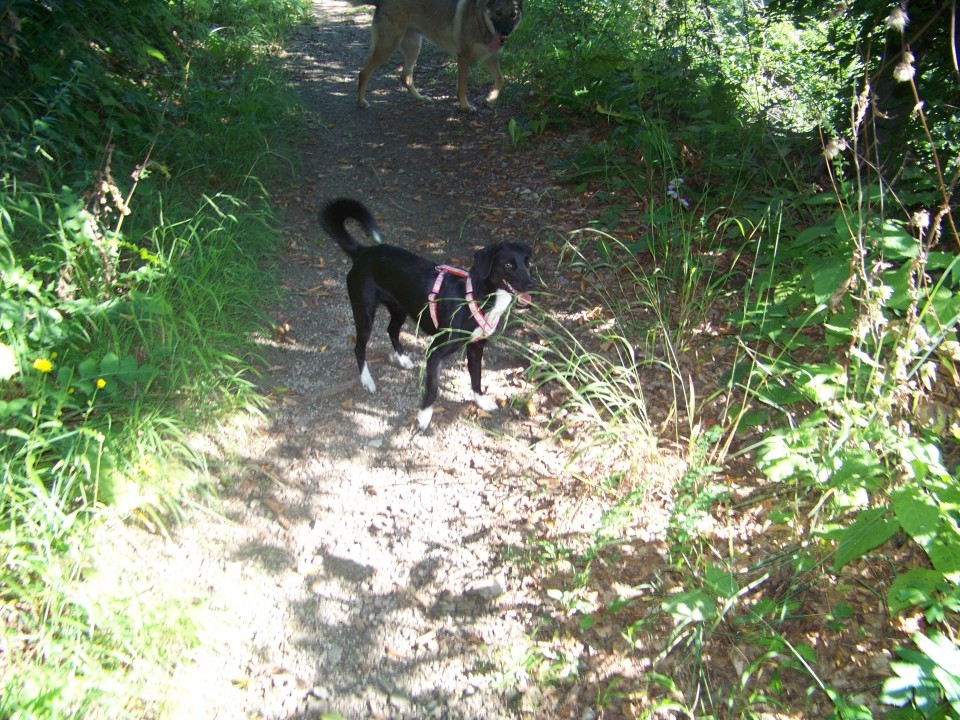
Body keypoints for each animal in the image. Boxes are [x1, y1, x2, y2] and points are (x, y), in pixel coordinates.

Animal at [320, 198, 532, 428]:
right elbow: (433, 389)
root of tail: (362, 251)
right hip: (365, 314)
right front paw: (424, 416)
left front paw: (481, 401)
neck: (477, 296)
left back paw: (403, 359)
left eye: (528, 263)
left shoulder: (476, 347)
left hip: (399, 309)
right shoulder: (435, 354)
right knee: (359, 348)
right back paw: (367, 379)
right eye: (509, 264)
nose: (532, 283)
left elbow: (477, 378)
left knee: (391, 330)